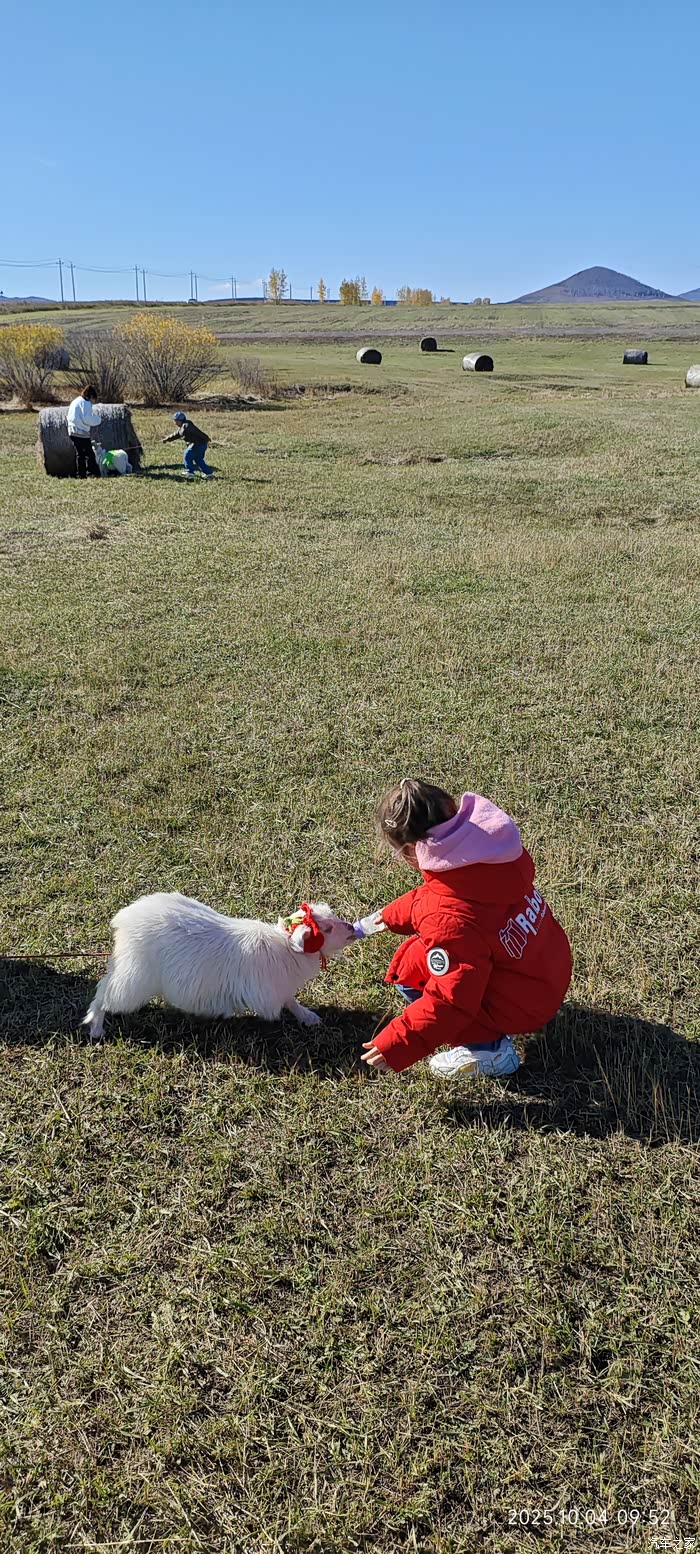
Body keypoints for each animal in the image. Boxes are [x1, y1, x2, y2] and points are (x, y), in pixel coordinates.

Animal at [82, 894, 356, 1038]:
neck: (286, 950)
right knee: (104, 996)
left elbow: (291, 1001)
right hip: (134, 980)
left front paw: (307, 1017)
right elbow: (284, 1002)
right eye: (326, 928)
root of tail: (123, 921)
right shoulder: (268, 990)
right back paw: (96, 1027)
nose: (352, 929)